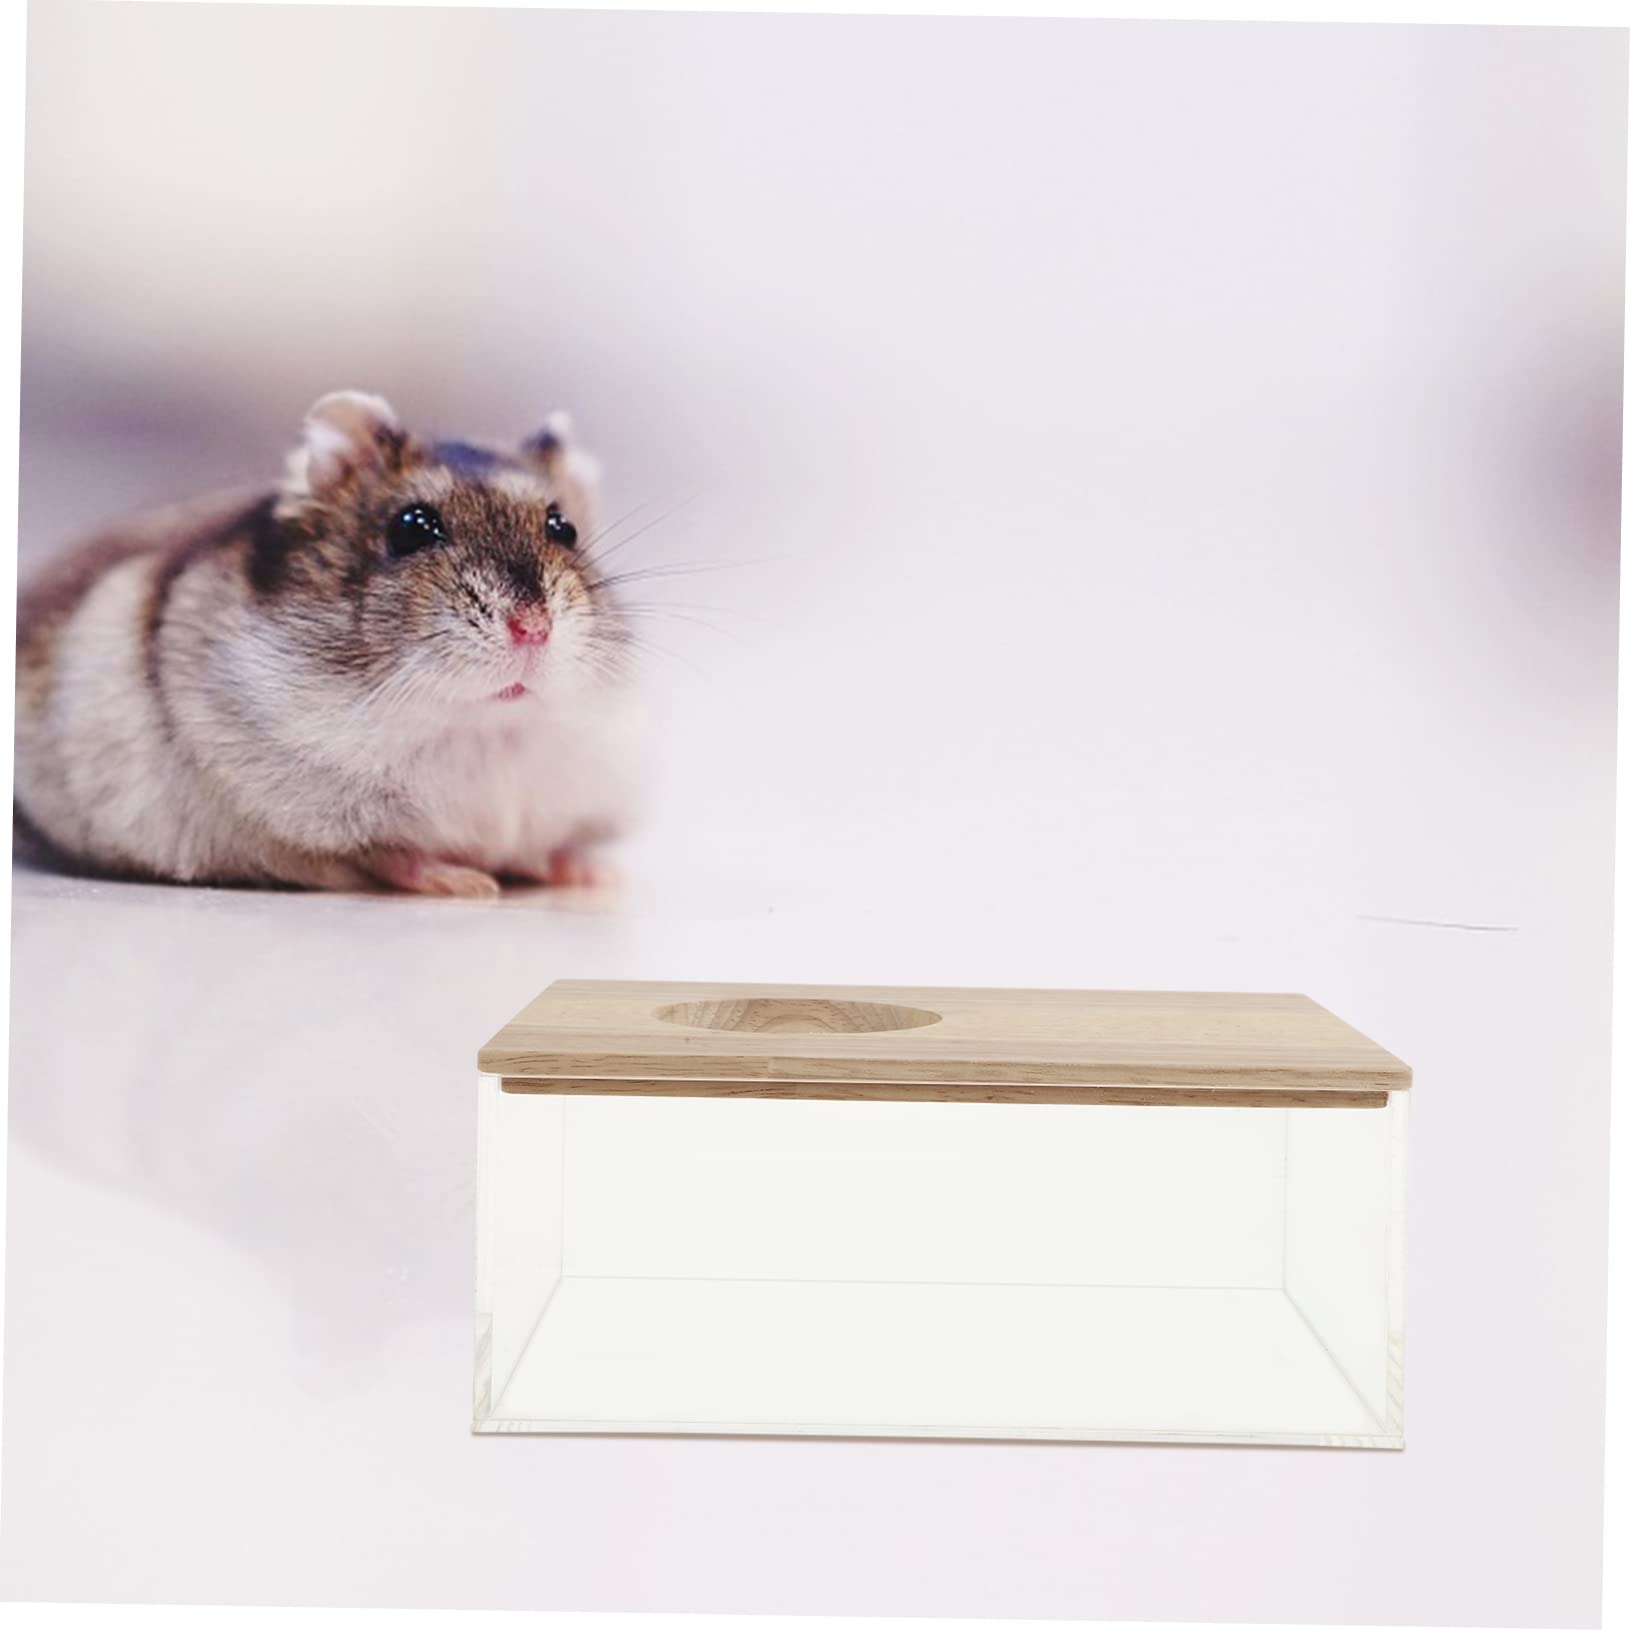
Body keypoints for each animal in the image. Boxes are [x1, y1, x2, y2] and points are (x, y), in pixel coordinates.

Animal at [14, 391, 642, 896]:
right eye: (412, 527)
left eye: (564, 528)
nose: (532, 628)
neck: (486, 730)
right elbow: (386, 853)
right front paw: (469, 884)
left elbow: (555, 848)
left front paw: (599, 878)